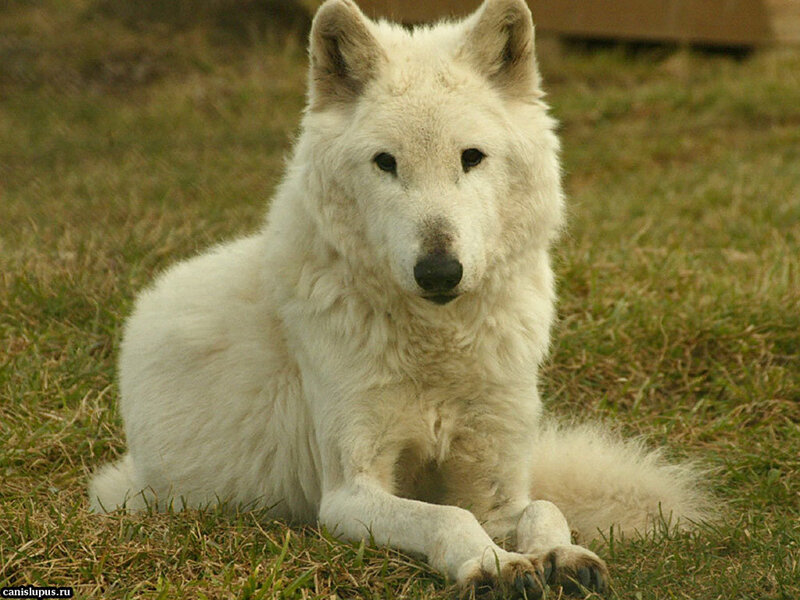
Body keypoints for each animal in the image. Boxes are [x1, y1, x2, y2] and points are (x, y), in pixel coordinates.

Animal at [89, 0, 712, 596]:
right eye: (386, 162)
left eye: (471, 157)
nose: (438, 271)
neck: (438, 347)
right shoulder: (347, 494)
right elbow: (449, 517)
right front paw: (494, 565)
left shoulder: (496, 489)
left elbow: (541, 506)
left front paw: (563, 555)